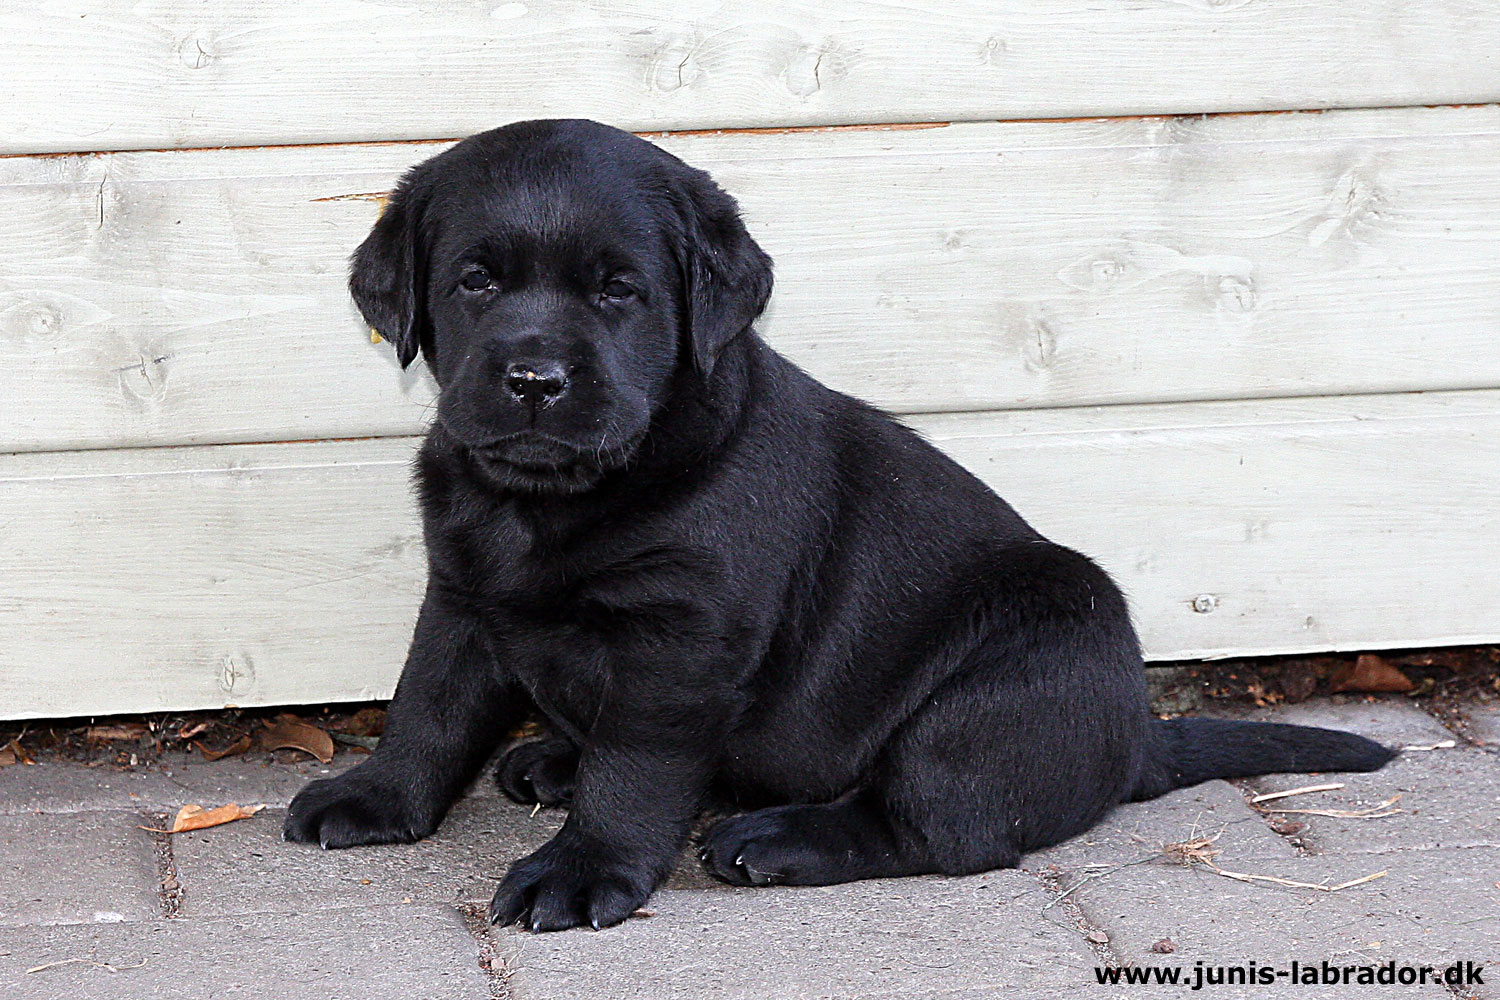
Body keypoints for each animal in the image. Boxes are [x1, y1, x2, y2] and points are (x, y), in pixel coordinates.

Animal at [286, 121, 1398, 935]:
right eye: (475, 281)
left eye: (618, 290)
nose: (532, 378)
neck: (553, 498)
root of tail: (1134, 741)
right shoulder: (463, 592)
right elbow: (427, 703)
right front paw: (379, 797)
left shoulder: (685, 638)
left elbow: (636, 765)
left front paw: (584, 866)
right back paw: (557, 759)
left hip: (998, 683)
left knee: (943, 828)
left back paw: (775, 839)